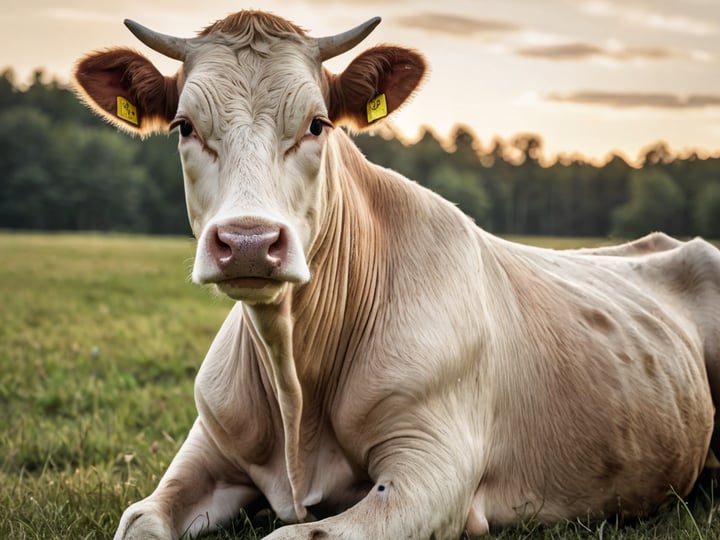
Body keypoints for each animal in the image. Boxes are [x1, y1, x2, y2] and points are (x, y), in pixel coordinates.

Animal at [73, 10, 720, 540]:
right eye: (184, 125)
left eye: (317, 124)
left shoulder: (432, 467)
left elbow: (292, 536)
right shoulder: (207, 447)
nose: (249, 243)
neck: (295, 384)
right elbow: (140, 521)